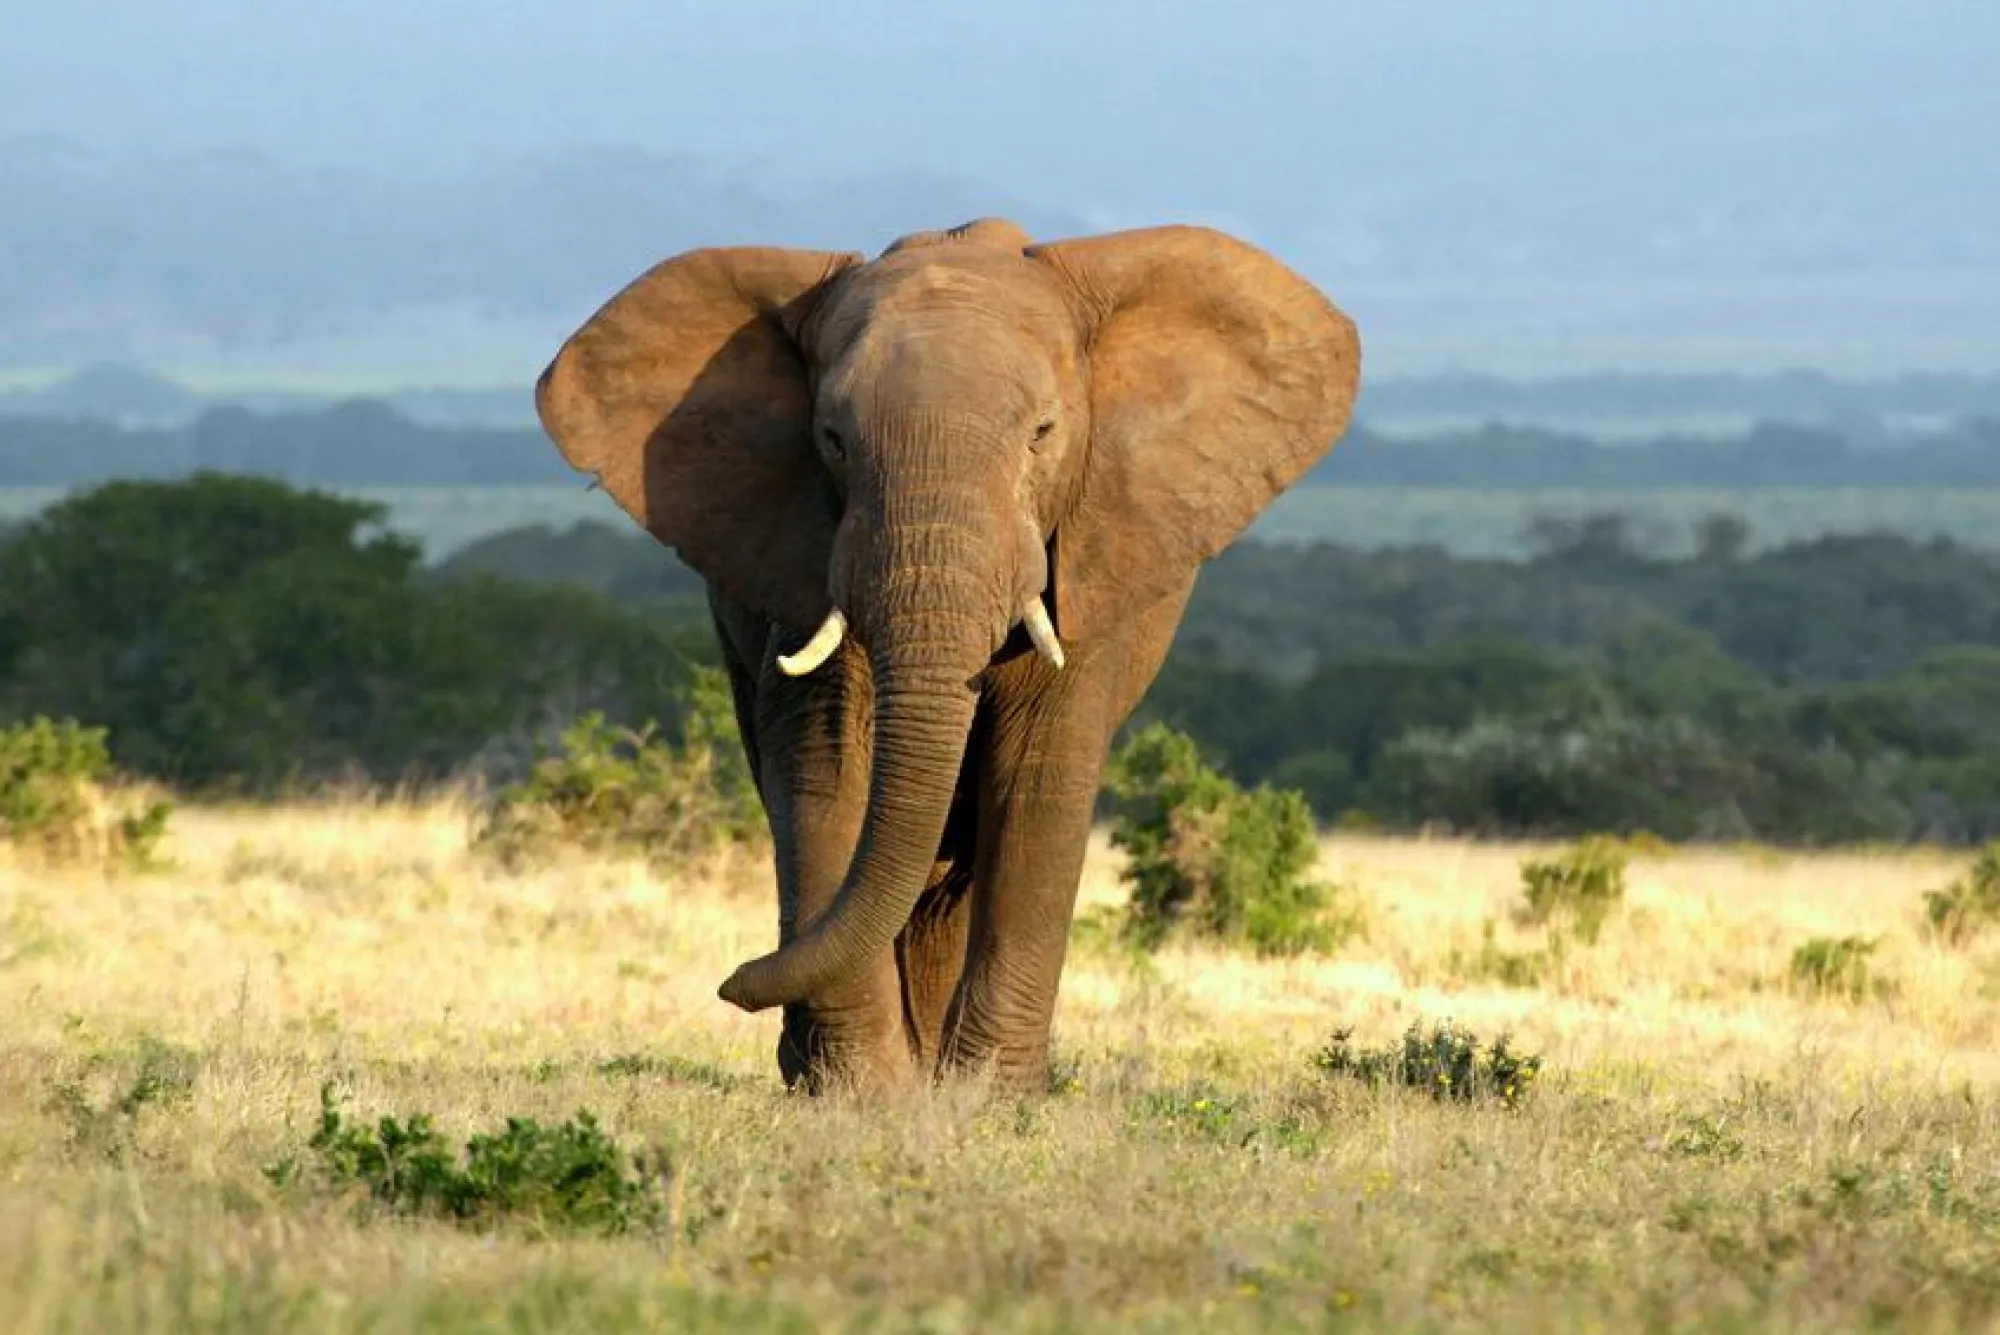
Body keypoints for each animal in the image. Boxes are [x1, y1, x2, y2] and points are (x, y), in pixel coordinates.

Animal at [534, 216, 1360, 1095]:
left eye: (1042, 435)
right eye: (833, 440)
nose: (733, 981)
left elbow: (1038, 777)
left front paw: (987, 1097)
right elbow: (825, 766)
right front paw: (863, 1092)